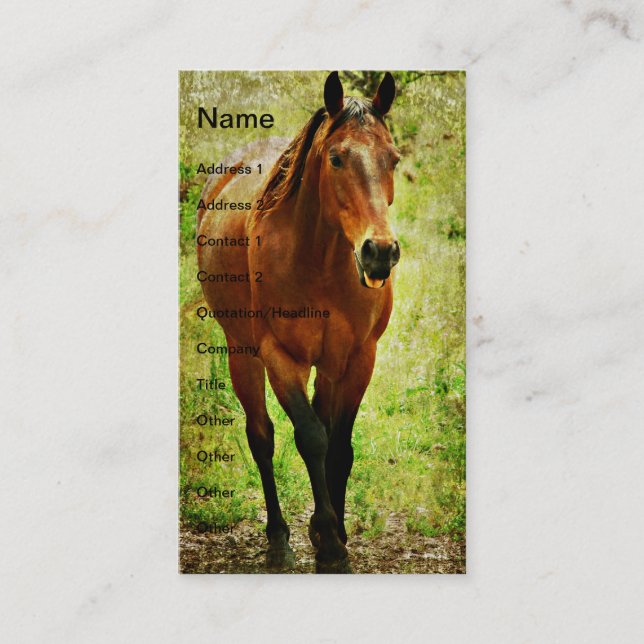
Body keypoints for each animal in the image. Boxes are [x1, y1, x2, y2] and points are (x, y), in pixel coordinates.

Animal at [196, 71, 400, 569]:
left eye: (393, 159)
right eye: (336, 158)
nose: (380, 252)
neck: (319, 259)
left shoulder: (358, 358)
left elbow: (339, 447)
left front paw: (335, 536)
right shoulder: (279, 356)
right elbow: (311, 438)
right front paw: (329, 546)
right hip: (242, 353)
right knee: (262, 437)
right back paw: (278, 539)